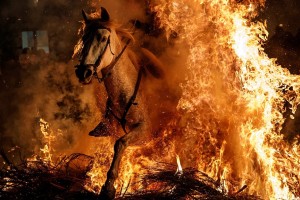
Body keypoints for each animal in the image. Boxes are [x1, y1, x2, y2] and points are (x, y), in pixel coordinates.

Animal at [74, 7, 164, 199]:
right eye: (84, 39)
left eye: (102, 38)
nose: (83, 72)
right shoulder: (112, 132)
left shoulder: (144, 131)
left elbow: (120, 144)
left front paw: (108, 186)